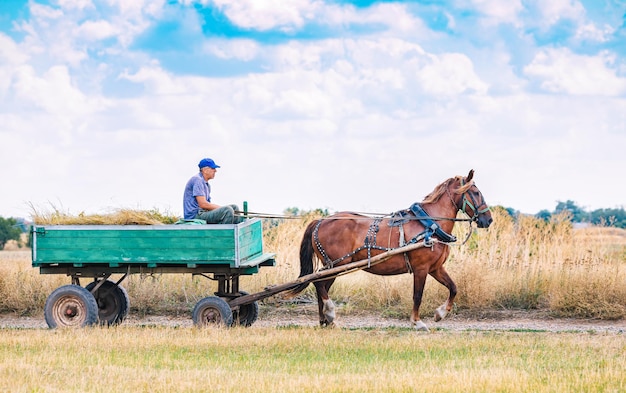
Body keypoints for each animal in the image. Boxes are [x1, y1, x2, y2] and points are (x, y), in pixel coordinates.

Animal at [284, 169, 492, 330]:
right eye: (475, 192)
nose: (488, 219)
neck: (430, 224)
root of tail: (320, 221)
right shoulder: (421, 269)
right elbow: (417, 296)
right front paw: (417, 322)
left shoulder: (435, 268)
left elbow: (453, 288)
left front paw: (439, 314)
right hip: (336, 264)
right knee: (318, 284)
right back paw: (330, 314)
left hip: (334, 266)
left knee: (320, 287)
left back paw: (325, 320)